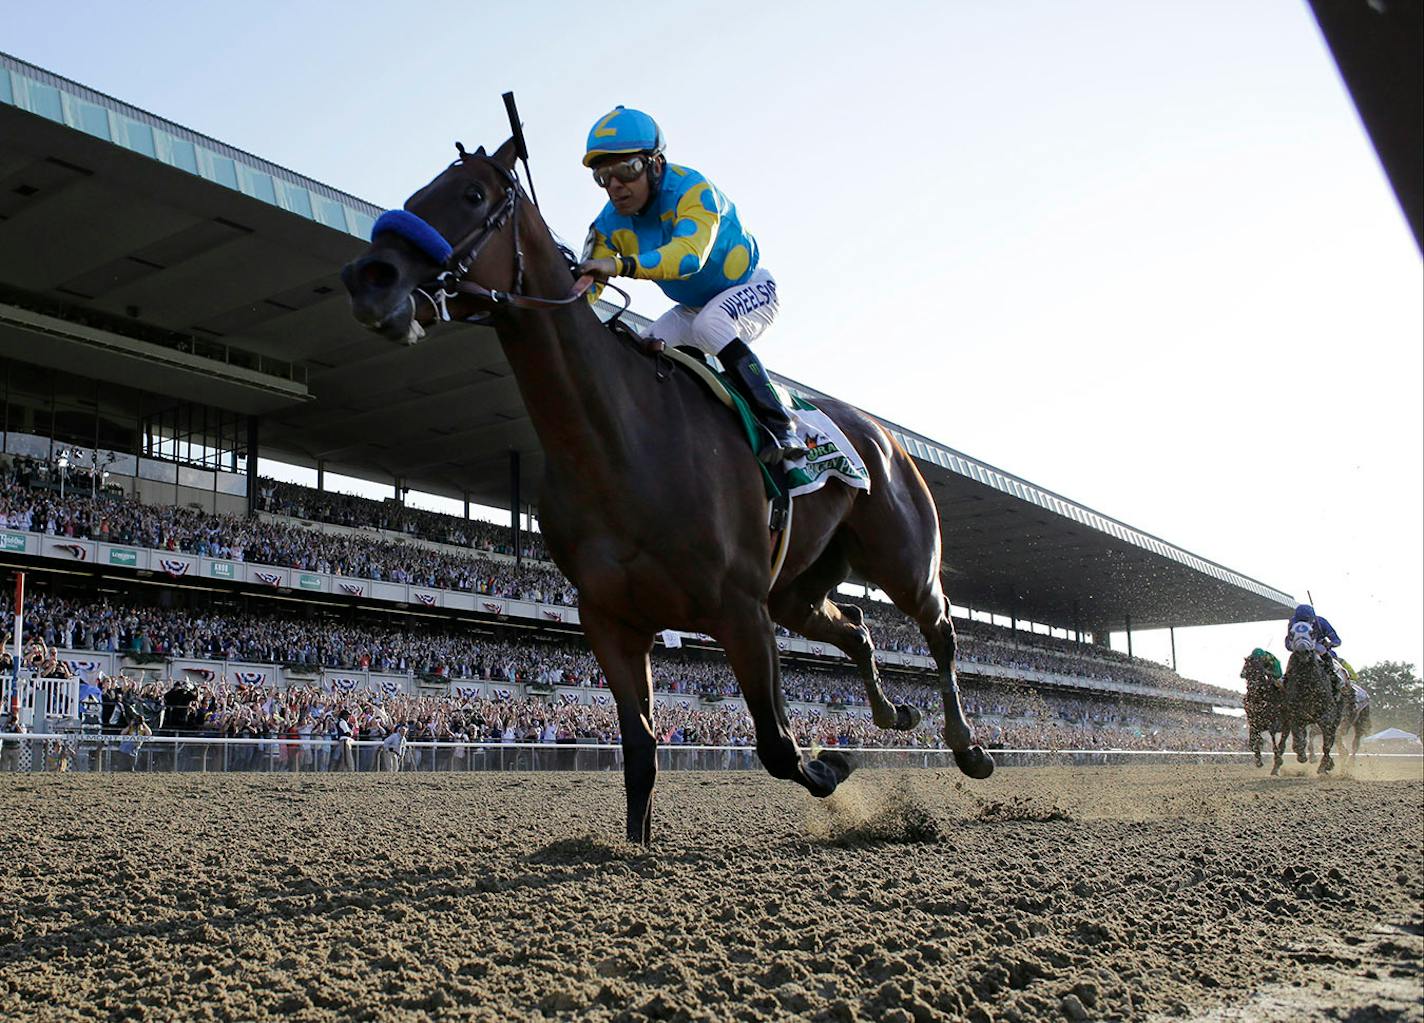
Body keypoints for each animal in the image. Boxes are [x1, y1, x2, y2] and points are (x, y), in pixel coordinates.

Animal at [338, 140, 996, 843]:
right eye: (416, 195)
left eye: (472, 195)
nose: (368, 277)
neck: (619, 443)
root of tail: (880, 433)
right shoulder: (612, 619)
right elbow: (641, 751)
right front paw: (635, 846)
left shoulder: (740, 609)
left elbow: (777, 745)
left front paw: (833, 766)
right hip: (797, 588)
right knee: (859, 627)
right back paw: (894, 713)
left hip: (901, 558)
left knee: (938, 628)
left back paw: (968, 746)